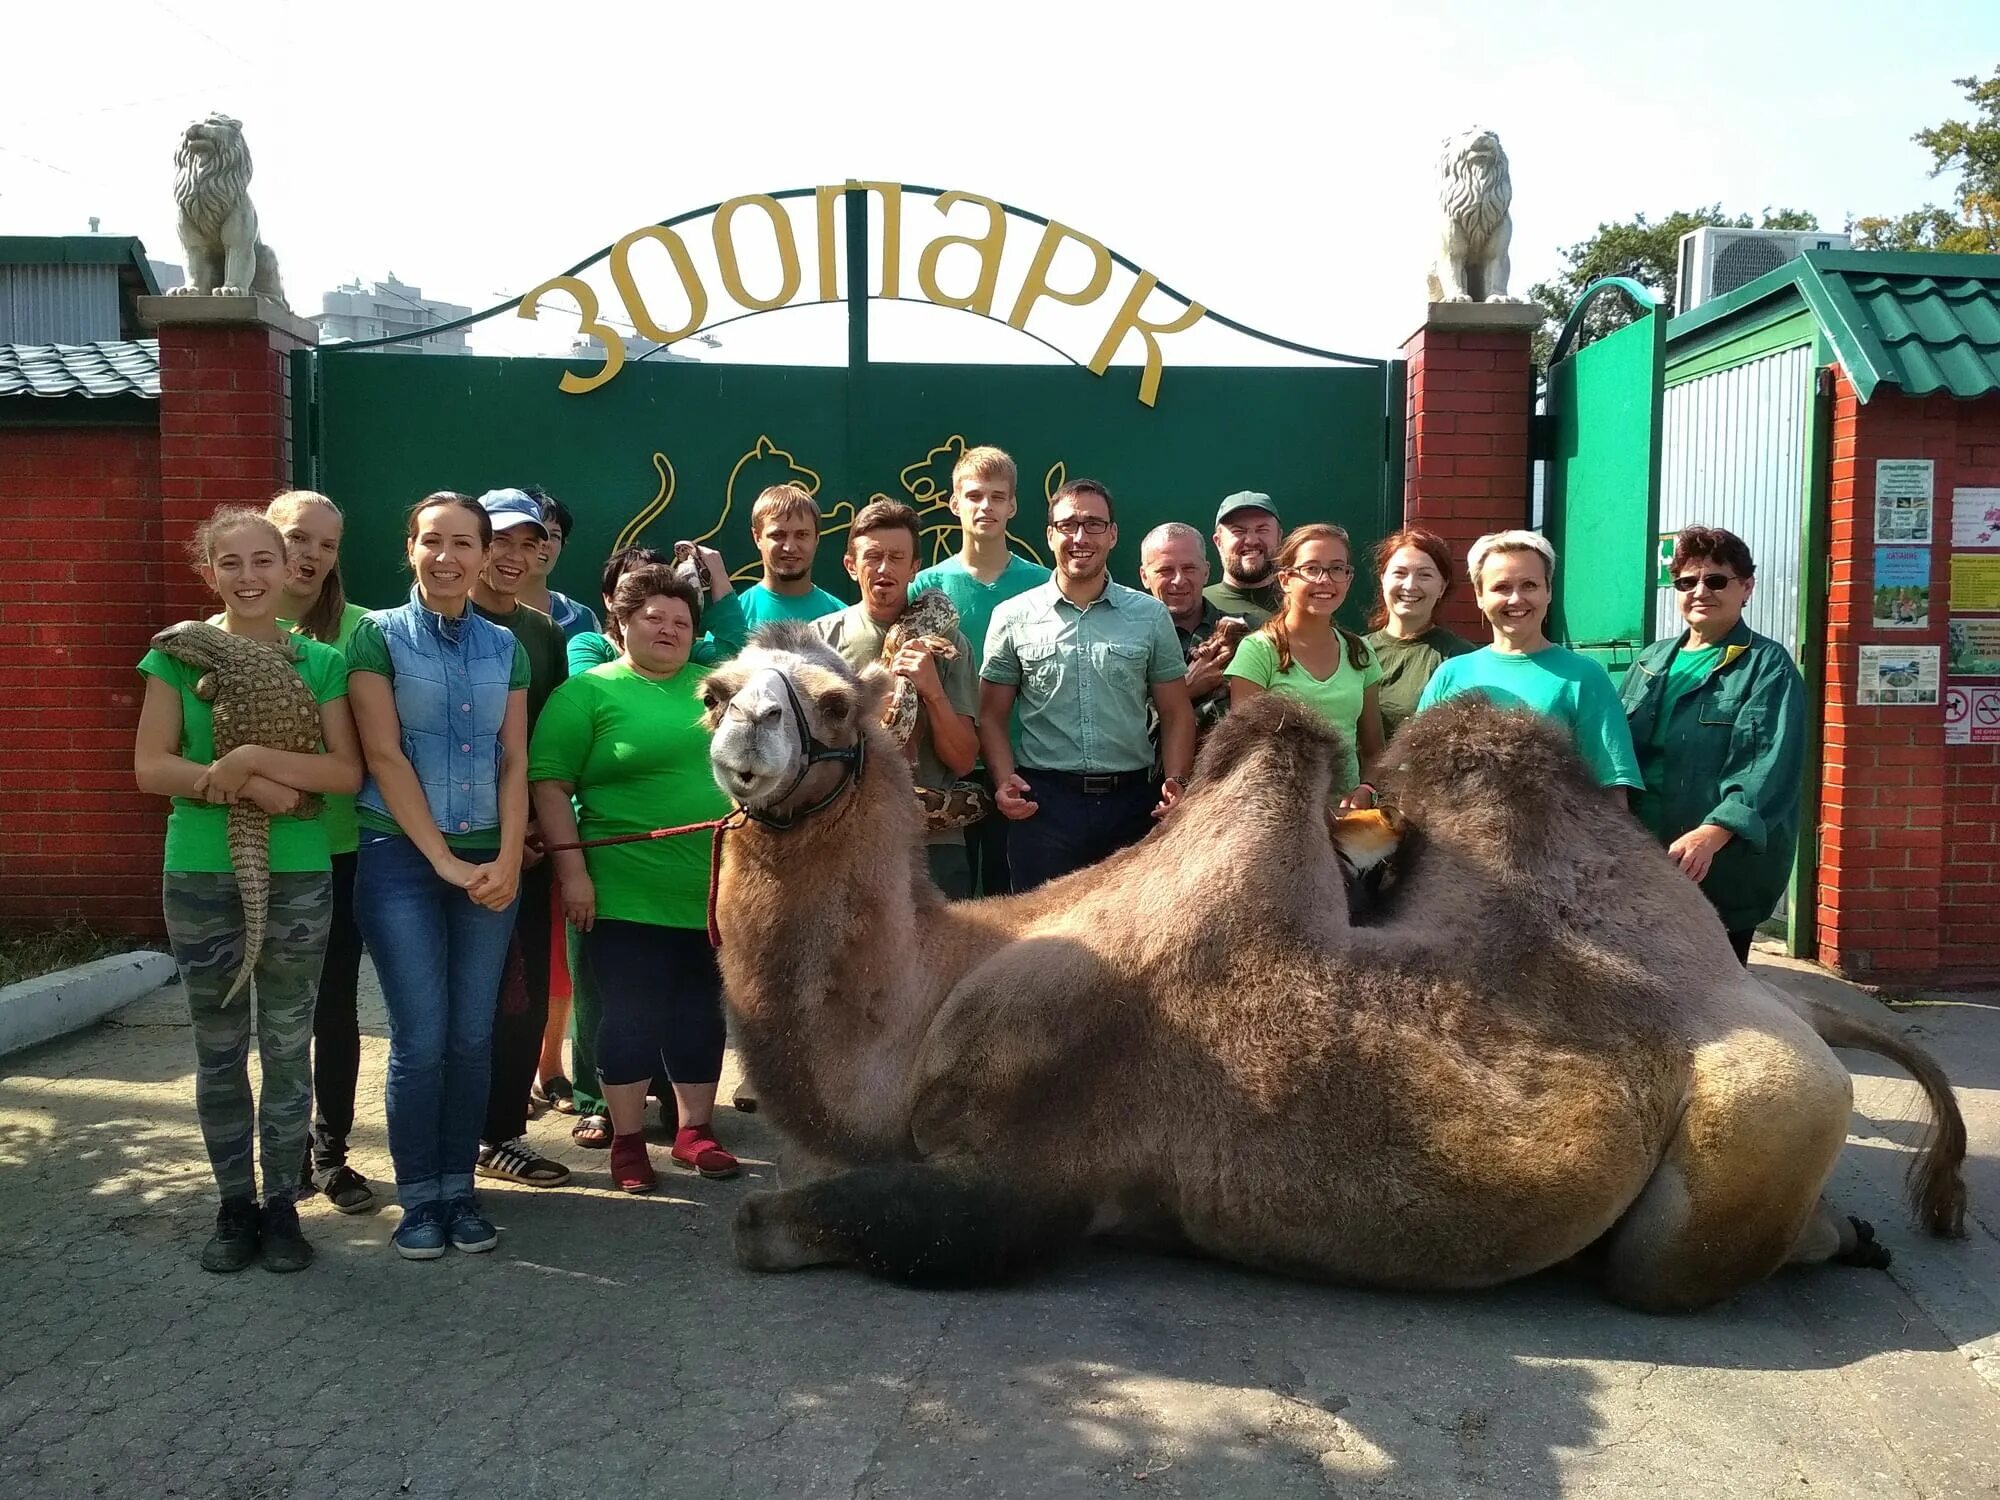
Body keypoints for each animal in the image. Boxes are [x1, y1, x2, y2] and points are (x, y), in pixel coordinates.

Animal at [704, 628, 1968, 1312]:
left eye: (831, 703)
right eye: (718, 686)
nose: (735, 740)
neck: (934, 992)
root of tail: (1768, 994)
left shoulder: (1027, 1176)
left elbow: (786, 1224)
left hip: (1756, 1117)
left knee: (1660, 1264)